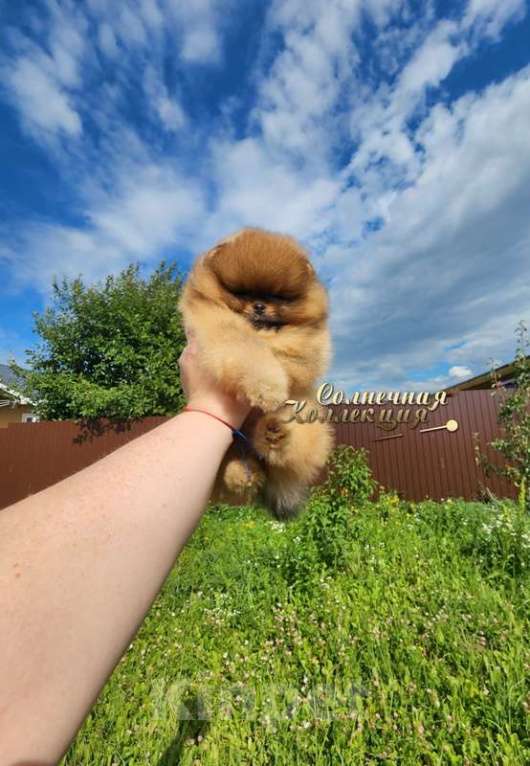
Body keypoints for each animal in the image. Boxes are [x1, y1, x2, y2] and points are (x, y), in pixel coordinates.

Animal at [179, 225, 332, 520]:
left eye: (276, 297)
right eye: (242, 293)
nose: (259, 306)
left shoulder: (308, 344)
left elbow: (295, 354)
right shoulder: (220, 329)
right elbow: (250, 352)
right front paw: (267, 389)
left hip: (306, 418)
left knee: (291, 455)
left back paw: (274, 434)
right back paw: (241, 472)